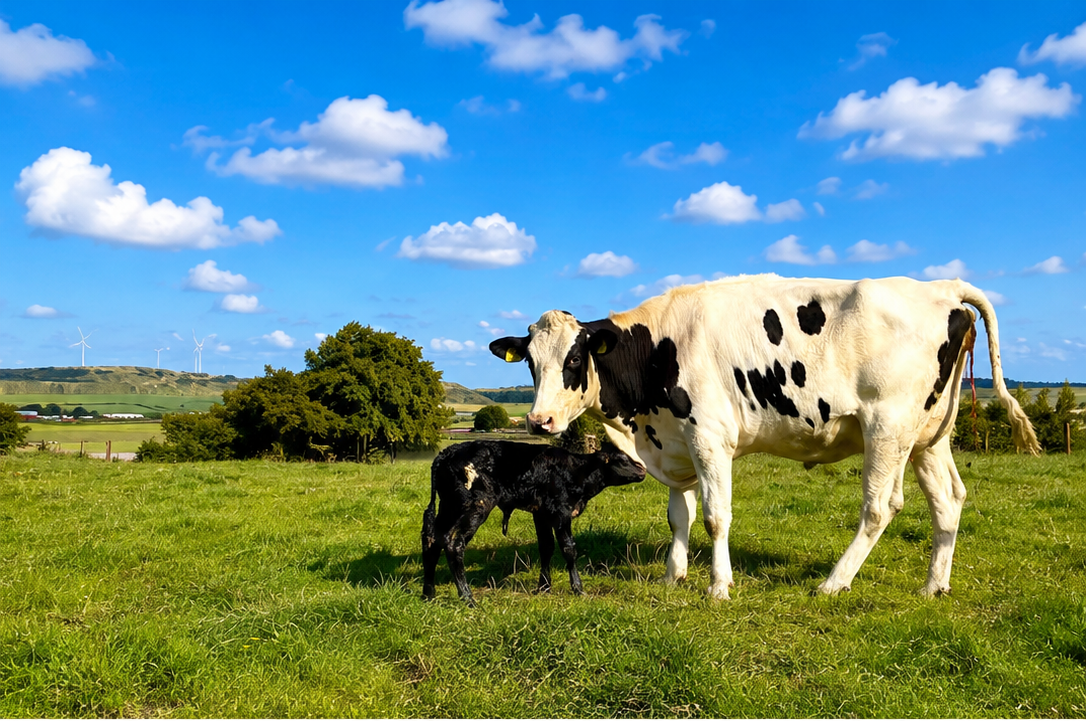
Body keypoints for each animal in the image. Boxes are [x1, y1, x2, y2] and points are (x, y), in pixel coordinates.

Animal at [421, 440, 646, 606]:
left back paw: (428, 594)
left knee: (433, 540)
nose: (643, 471)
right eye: (621, 460)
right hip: (474, 506)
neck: (577, 472)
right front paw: (578, 588)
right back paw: (468, 598)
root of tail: (446, 453)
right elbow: (569, 549)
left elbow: (546, 547)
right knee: (454, 544)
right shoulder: (561, 512)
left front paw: (544, 587)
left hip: (448, 507)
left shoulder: (542, 514)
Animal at [489, 275, 1040, 600]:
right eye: (531, 362)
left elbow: (715, 516)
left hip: (888, 426)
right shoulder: (676, 442)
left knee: (880, 507)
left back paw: (833, 583)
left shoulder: (710, 437)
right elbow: (678, 516)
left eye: (574, 359)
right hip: (928, 435)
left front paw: (719, 586)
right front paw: (673, 576)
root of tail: (941, 286)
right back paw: (933, 587)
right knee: (948, 500)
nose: (538, 422)